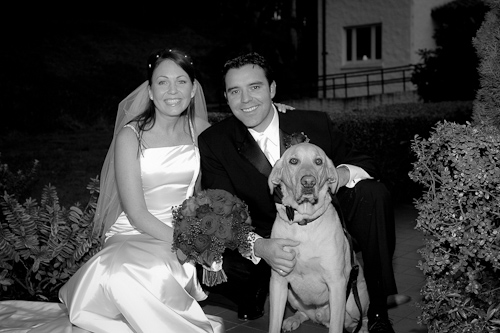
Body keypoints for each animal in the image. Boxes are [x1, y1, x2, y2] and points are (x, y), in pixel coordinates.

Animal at [268, 143, 370, 332]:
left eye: (318, 161)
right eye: (293, 161)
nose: (308, 182)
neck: (304, 224)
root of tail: (321, 317)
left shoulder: (336, 284)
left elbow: (336, 327)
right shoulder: (278, 281)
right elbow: (274, 325)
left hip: (353, 302)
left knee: (363, 318)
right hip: (292, 295)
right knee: (304, 313)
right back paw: (293, 319)